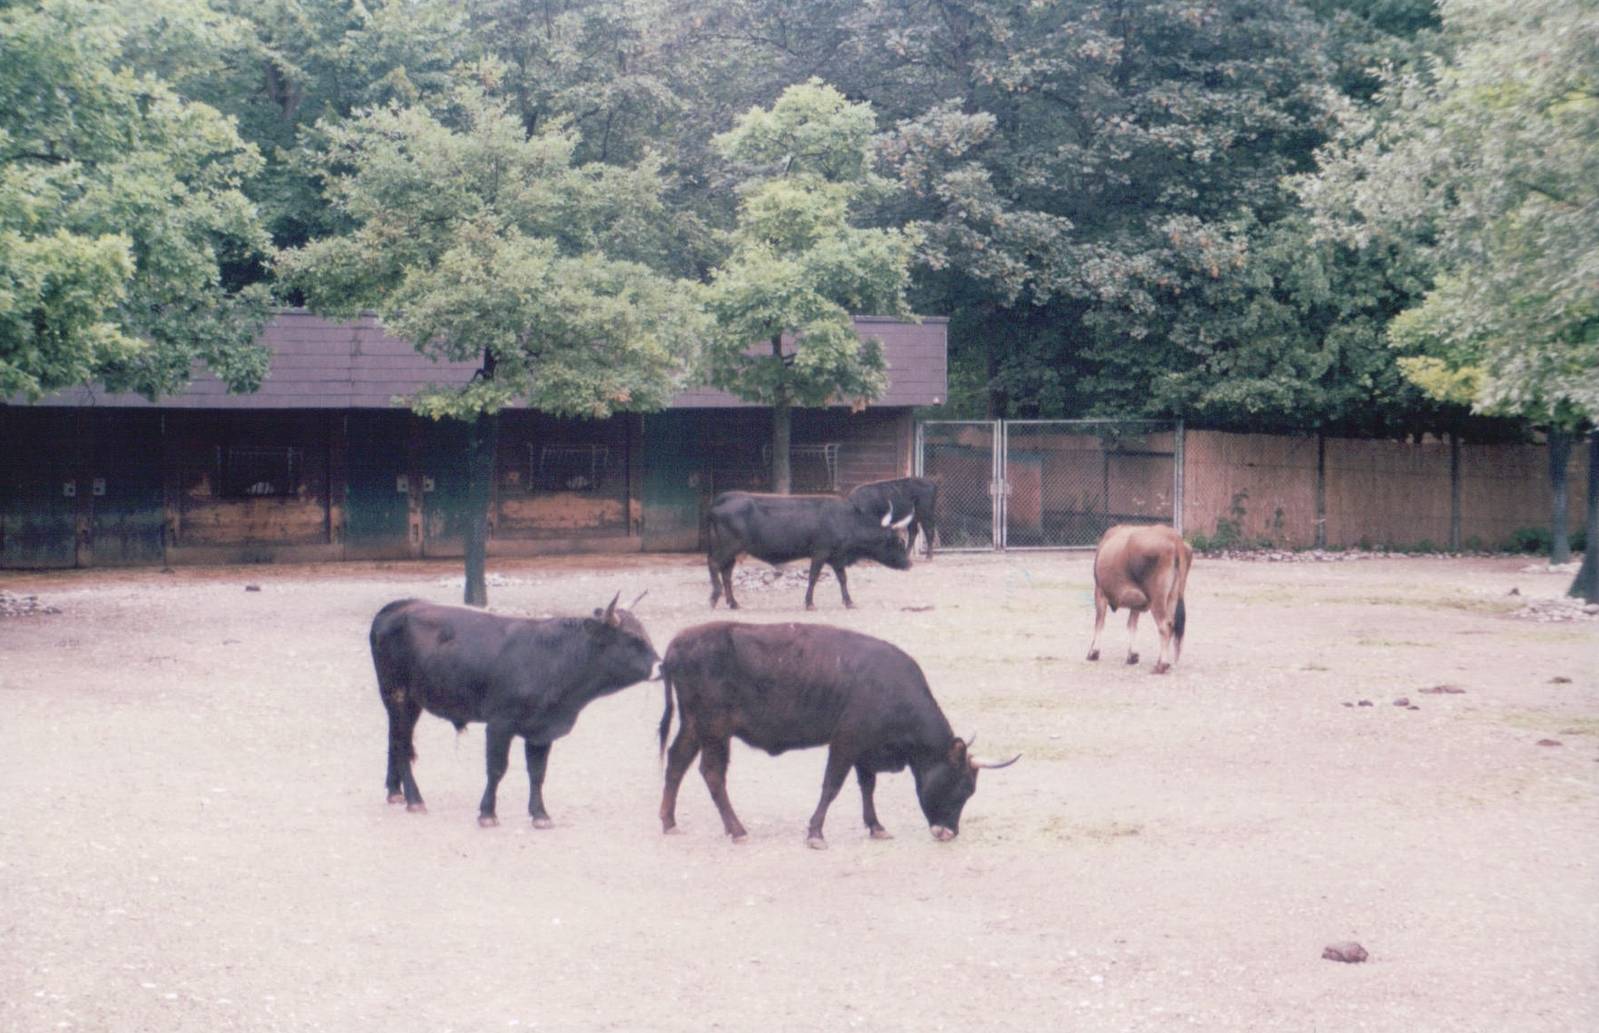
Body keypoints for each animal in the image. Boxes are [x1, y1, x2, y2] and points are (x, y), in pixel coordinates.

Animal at [369, 593, 659, 827]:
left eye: (645, 633)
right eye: (632, 638)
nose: (660, 665)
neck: (555, 658)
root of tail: (400, 606)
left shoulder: (541, 731)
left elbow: (538, 773)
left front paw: (540, 814)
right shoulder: (500, 724)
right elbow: (497, 768)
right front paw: (488, 813)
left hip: (409, 703)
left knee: (396, 739)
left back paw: (395, 791)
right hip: (397, 695)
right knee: (401, 743)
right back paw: (414, 799)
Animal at [656, 621, 1019, 849]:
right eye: (963, 787)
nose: (949, 833)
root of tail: (678, 644)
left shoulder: (866, 751)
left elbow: (867, 787)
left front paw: (876, 826)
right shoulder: (846, 742)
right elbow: (832, 786)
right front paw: (816, 833)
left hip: (694, 726)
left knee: (676, 762)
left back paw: (669, 821)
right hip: (714, 730)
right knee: (712, 773)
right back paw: (736, 830)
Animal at [705, 490, 915, 610]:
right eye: (898, 542)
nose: (909, 564)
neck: (845, 520)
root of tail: (725, 498)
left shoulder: (836, 557)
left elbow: (843, 578)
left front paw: (849, 602)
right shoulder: (820, 552)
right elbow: (813, 577)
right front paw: (809, 603)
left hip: (733, 550)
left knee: (727, 573)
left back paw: (733, 603)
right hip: (728, 546)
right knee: (714, 564)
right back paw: (715, 597)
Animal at [1086, 523, 1192, 674]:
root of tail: (1175, 538)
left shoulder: (1100, 591)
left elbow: (1099, 622)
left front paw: (1093, 652)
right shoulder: (1137, 601)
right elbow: (1132, 624)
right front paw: (1132, 656)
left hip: (1157, 598)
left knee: (1164, 625)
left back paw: (1162, 665)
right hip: (1173, 596)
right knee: (1172, 623)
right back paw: (1161, 661)